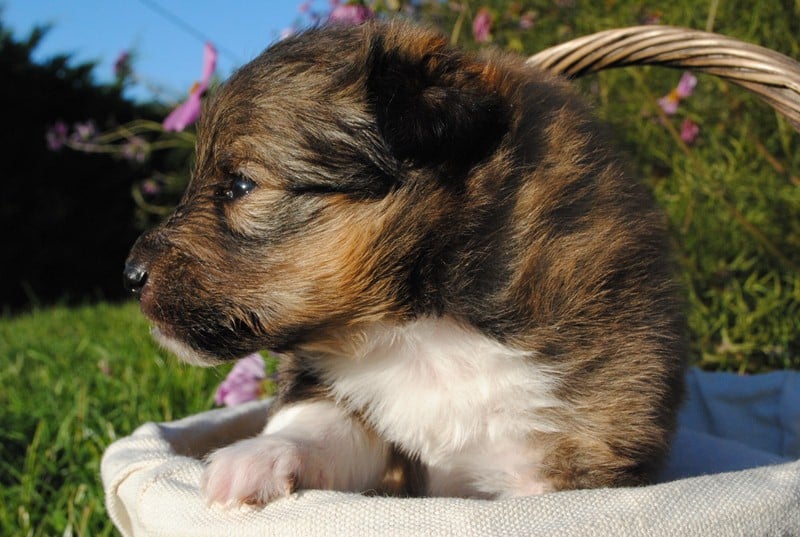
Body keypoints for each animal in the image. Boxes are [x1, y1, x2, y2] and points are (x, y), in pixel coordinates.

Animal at [125, 21, 688, 504]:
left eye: (240, 185)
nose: (129, 274)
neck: (415, 333)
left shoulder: (571, 450)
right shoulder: (356, 404)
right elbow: (321, 419)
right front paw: (251, 461)